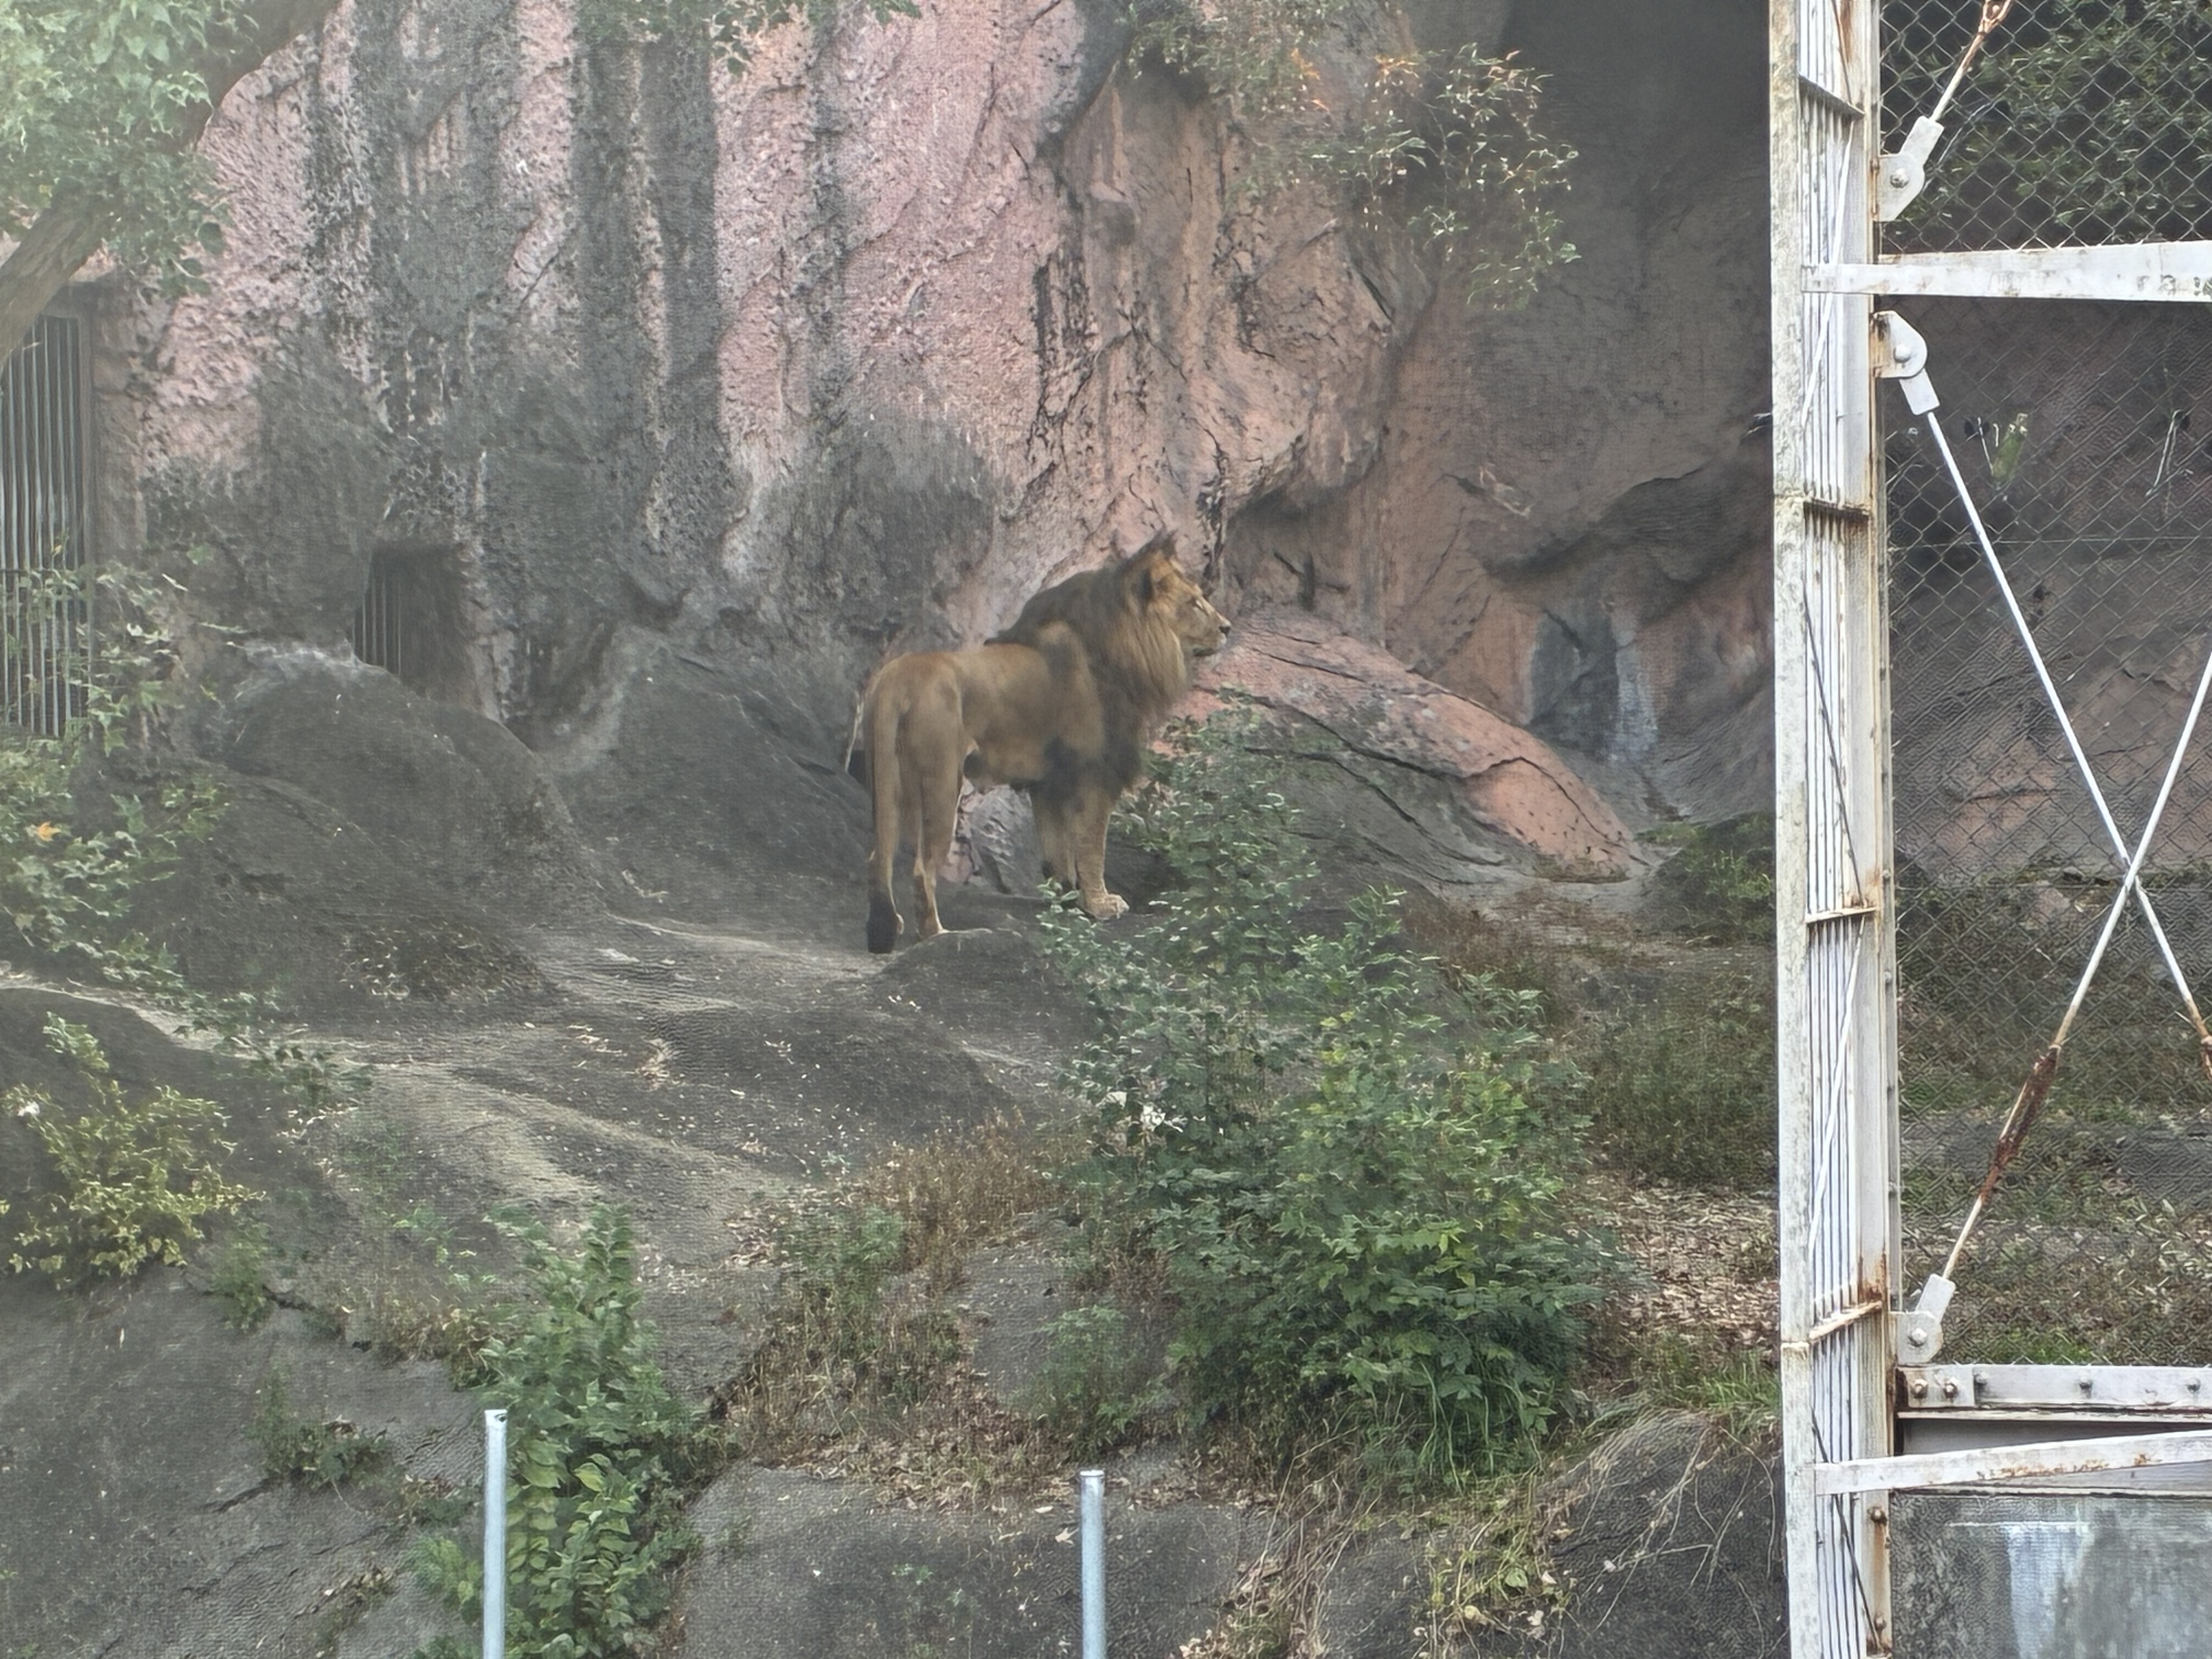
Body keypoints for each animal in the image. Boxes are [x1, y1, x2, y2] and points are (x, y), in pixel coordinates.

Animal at [988, 533, 1230, 922]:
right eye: (1194, 603)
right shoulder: (1095, 768)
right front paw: (1100, 904)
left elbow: (1056, 844)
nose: (1227, 628)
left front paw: (1066, 897)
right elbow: (1091, 845)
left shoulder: (1053, 778)